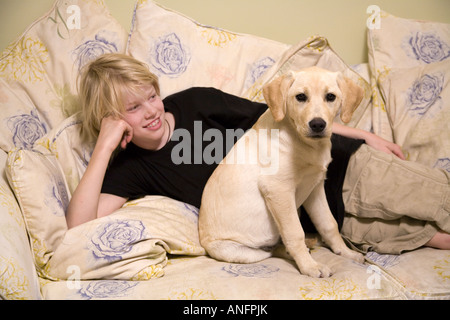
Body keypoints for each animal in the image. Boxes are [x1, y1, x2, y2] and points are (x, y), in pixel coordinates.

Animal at [200, 67, 366, 278]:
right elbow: (295, 232)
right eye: (300, 97)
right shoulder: (278, 190)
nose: (318, 124)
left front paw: (345, 252)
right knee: (272, 250)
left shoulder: (315, 188)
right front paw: (310, 266)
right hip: (242, 252)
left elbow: (329, 224)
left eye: (330, 97)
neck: (302, 142)